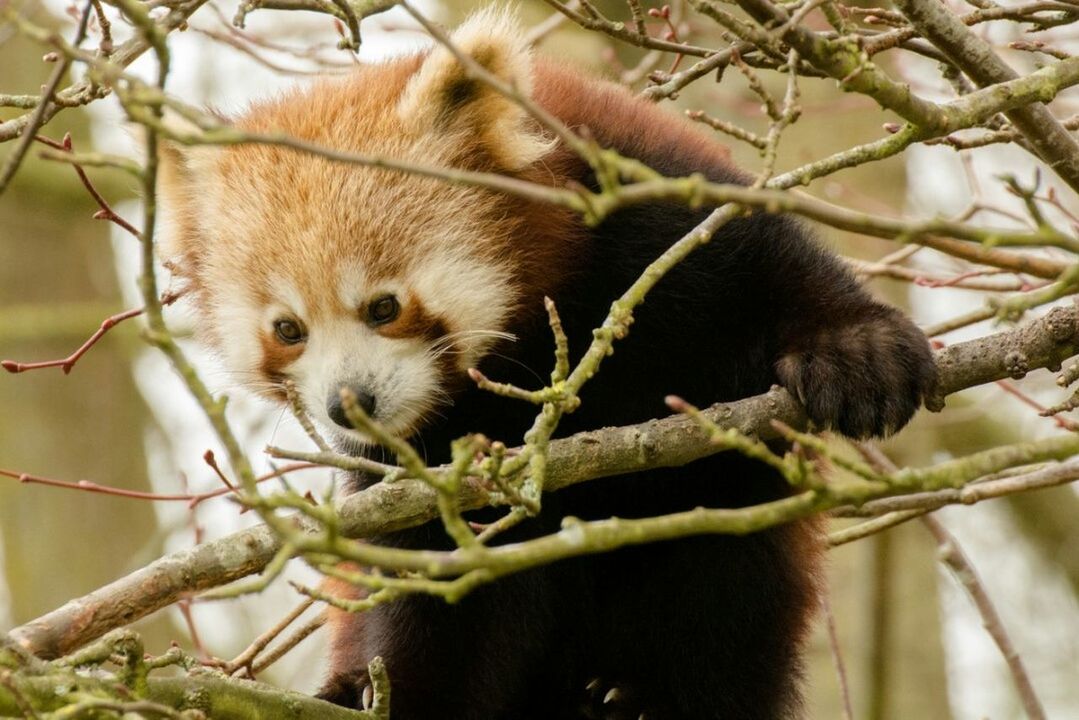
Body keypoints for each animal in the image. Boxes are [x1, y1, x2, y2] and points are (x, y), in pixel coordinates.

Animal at [157, 7, 936, 720]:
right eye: (288, 330)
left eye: (383, 306)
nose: (350, 404)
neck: (531, 350)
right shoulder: (419, 473)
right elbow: (439, 583)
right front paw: (406, 694)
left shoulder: (647, 211)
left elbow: (768, 269)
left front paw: (857, 349)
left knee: (719, 586)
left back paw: (639, 697)